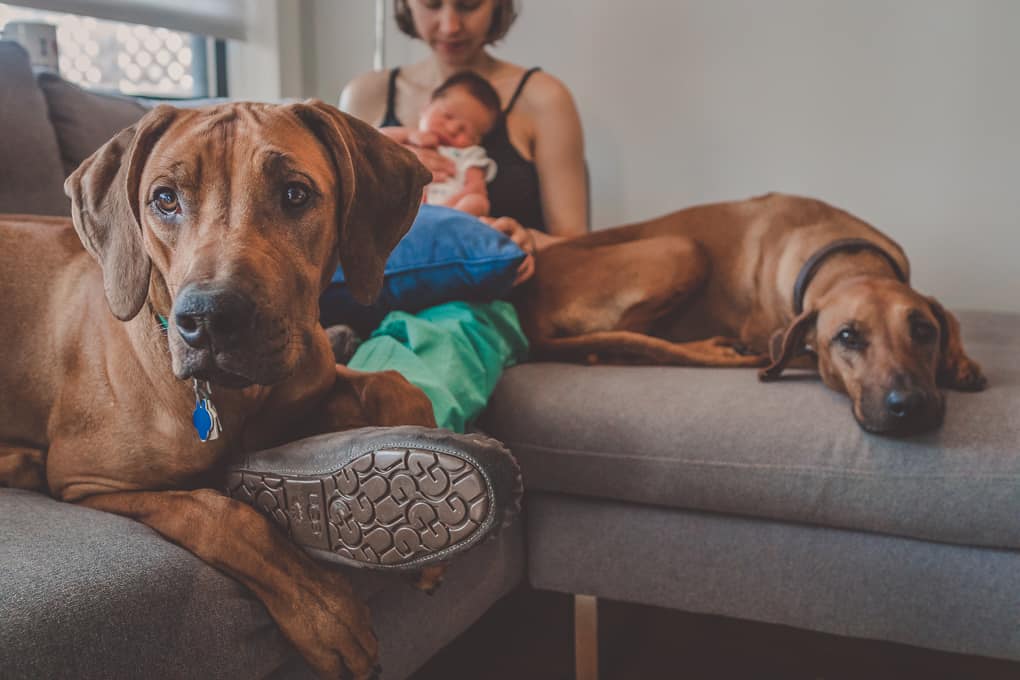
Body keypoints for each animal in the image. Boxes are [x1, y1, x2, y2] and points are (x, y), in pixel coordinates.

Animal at [0, 100, 522, 680]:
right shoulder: (85, 479)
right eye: (165, 198)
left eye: (295, 194)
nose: (207, 320)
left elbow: (393, 381)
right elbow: (219, 513)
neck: (233, 399)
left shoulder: (310, 377)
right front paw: (322, 608)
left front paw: (424, 468)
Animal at [518, 191, 987, 436]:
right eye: (848, 337)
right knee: (624, 345)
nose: (910, 405)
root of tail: (528, 301)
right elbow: (794, 351)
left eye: (923, 331)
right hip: (683, 247)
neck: (847, 260)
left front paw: (960, 361)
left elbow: (952, 320)